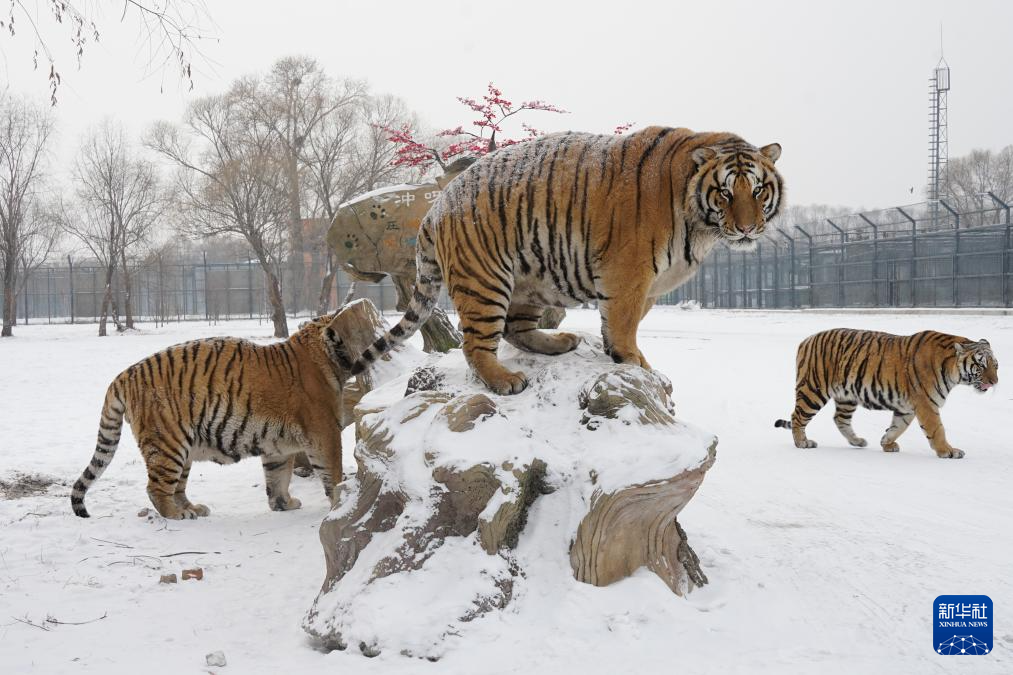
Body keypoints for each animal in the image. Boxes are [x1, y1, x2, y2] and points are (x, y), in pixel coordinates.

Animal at [71, 313, 352, 520]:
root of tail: (123, 375)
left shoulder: (277, 446)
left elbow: (278, 476)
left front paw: (283, 504)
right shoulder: (323, 432)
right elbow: (332, 470)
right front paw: (339, 500)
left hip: (183, 450)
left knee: (177, 488)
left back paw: (192, 508)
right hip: (167, 444)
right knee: (156, 488)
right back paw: (177, 514)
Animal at [344, 126, 784, 394]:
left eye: (758, 190)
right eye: (725, 192)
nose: (747, 228)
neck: (700, 224)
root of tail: (435, 208)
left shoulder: (649, 286)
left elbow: (623, 322)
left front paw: (617, 353)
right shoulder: (629, 272)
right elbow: (625, 323)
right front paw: (635, 362)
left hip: (528, 279)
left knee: (516, 330)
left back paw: (559, 342)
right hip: (485, 280)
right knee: (475, 343)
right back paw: (504, 379)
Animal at [774, 329, 998, 458]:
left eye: (995, 365)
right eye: (980, 365)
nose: (995, 382)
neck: (952, 371)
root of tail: (805, 340)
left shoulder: (907, 407)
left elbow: (898, 427)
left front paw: (886, 443)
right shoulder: (927, 404)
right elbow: (937, 430)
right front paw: (948, 451)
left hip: (847, 396)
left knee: (839, 418)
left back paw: (857, 441)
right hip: (813, 389)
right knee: (797, 416)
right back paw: (802, 442)